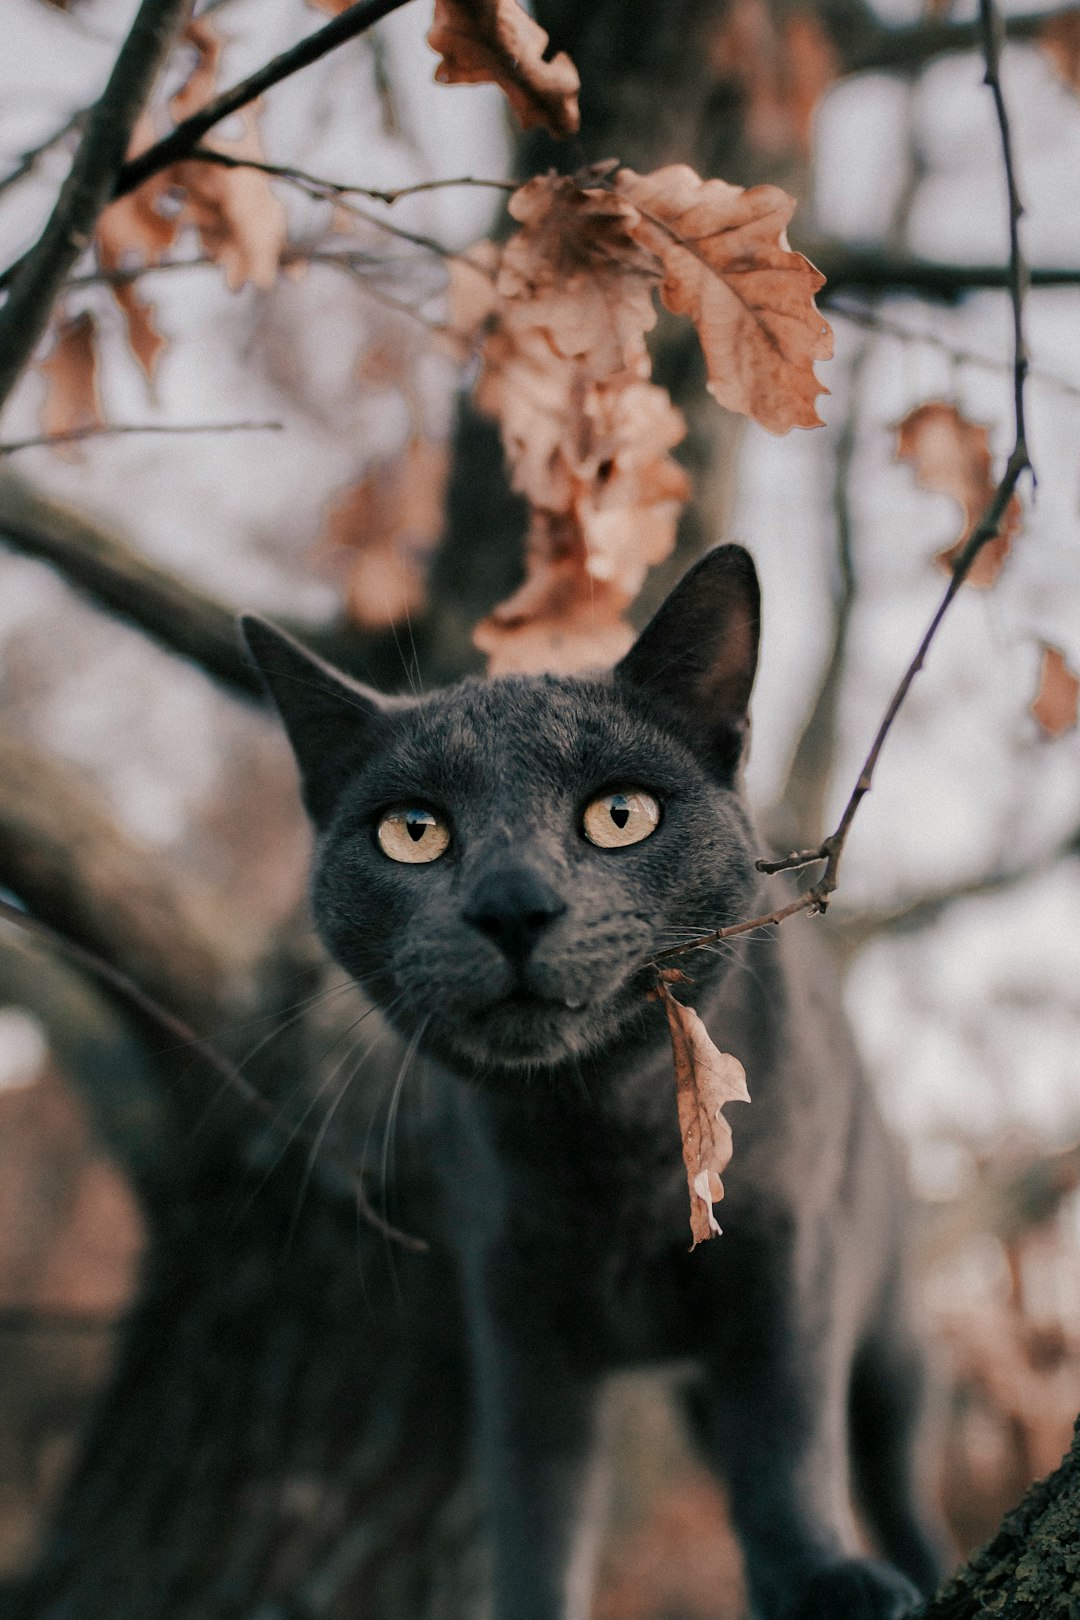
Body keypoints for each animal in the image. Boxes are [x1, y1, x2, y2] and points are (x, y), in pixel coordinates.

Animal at [242, 544, 945, 1620]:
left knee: (890, 1466)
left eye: (621, 815)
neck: (604, 1144)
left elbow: (787, 1446)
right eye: (413, 831)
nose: (513, 903)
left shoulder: (790, 1265)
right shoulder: (521, 1320)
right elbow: (539, 1511)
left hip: (893, 1334)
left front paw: (829, 1579)